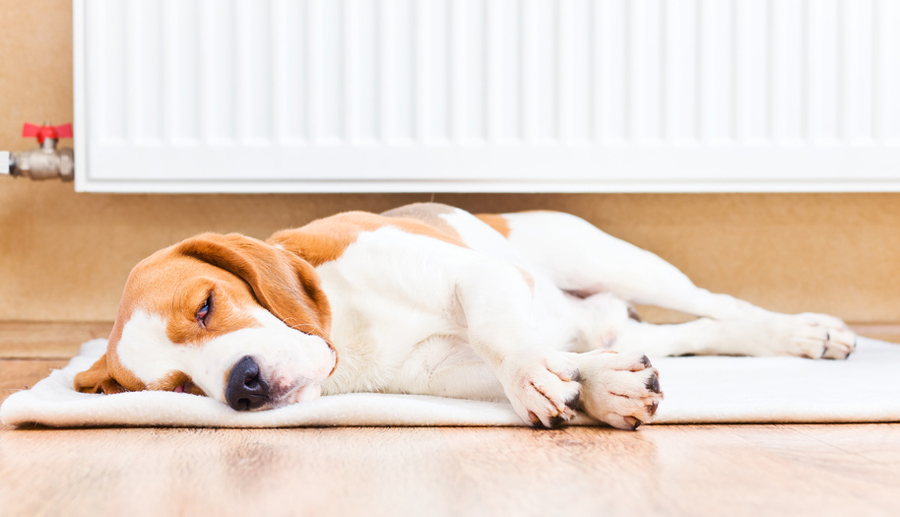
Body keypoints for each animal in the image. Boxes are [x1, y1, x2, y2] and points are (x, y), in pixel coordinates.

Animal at [74, 204, 856, 430]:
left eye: (206, 305)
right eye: (180, 387)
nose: (243, 385)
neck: (345, 330)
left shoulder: (472, 276)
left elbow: (500, 333)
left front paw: (540, 377)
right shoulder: (442, 374)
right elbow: (556, 367)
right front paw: (600, 388)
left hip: (612, 257)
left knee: (724, 307)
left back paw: (802, 332)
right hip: (624, 319)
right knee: (689, 333)